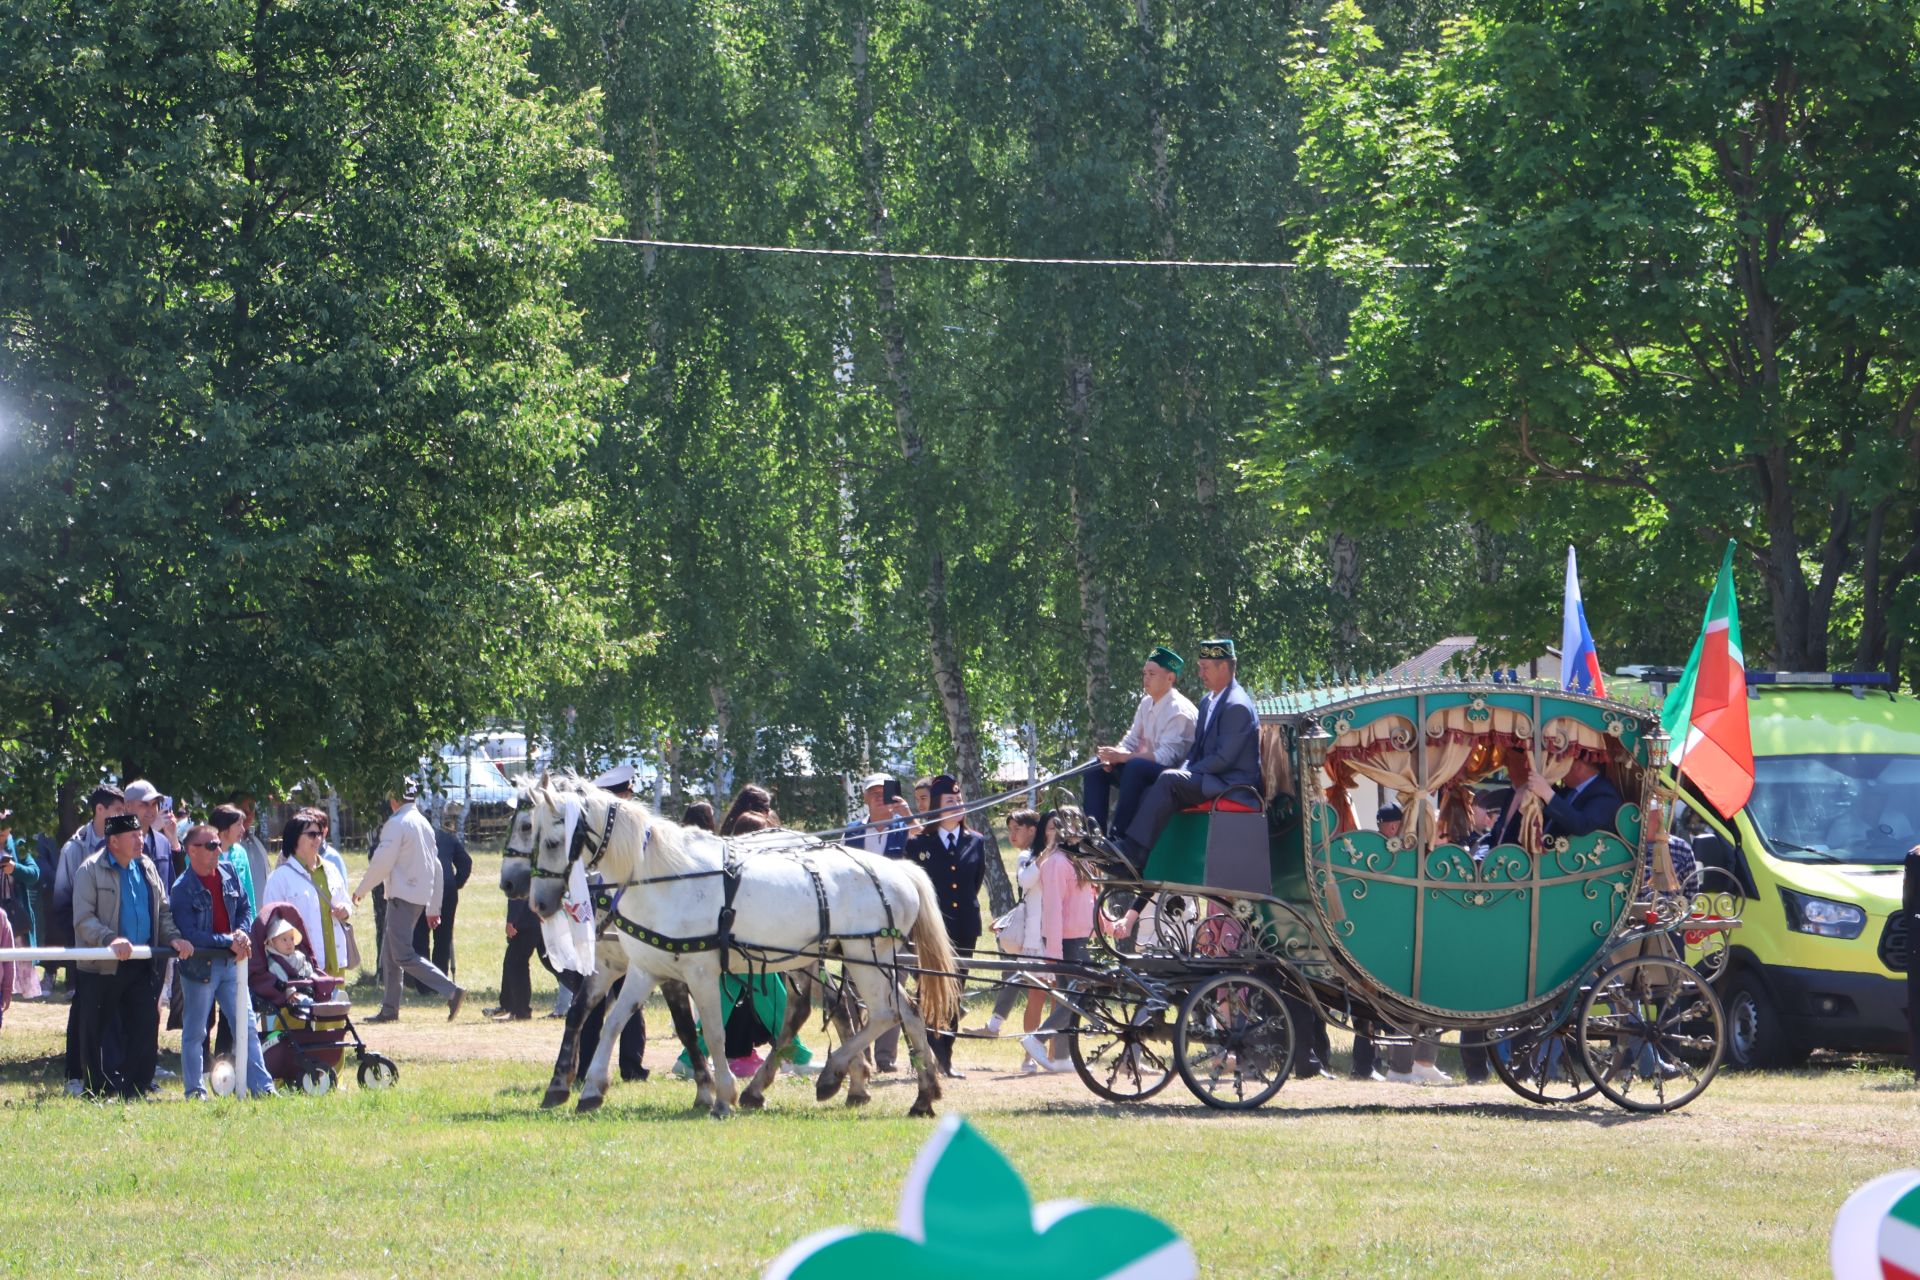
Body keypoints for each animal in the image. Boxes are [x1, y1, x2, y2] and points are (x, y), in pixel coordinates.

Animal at [529, 775, 956, 1113]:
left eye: (552, 841)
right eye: (527, 832)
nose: (536, 902)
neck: (666, 878)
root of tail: (898, 870)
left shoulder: (700, 971)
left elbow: (713, 1031)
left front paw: (721, 1097)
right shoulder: (646, 968)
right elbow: (613, 1022)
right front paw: (589, 1091)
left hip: (865, 955)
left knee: (883, 1013)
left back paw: (830, 1077)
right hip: (866, 961)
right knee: (905, 1011)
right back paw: (921, 1096)